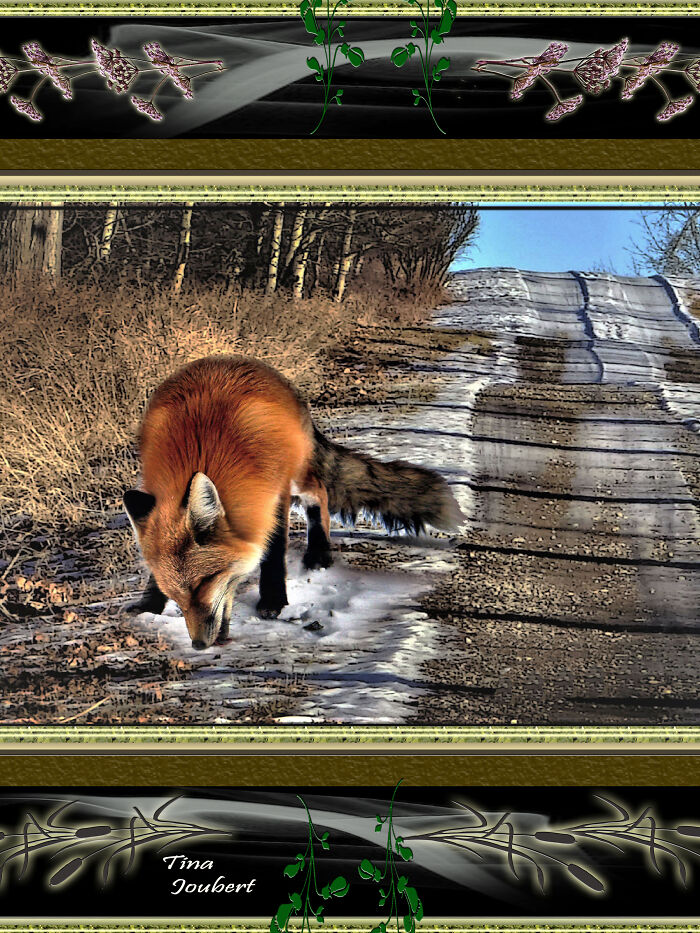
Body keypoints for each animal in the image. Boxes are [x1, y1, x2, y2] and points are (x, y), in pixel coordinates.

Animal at [123, 356, 463, 650]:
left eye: (205, 582)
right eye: (176, 594)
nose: (198, 645)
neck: (204, 447)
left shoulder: (273, 494)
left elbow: (273, 551)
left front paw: (273, 602)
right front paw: (149, 604)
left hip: (298, 475)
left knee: (320, 496)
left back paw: (319, 554)